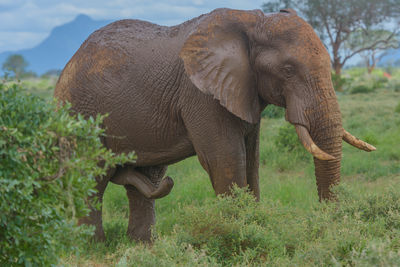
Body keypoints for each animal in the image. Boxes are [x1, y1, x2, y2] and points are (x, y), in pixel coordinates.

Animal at [54, 7, 376, 243]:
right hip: (80, 114)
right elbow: (227, 159)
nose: (328, 228)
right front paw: (239, 234)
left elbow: (252, 161)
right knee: (91, 178)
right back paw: (93, 245)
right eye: (287, 69)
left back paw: (142, 244)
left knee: (148, 177)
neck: (253, 21)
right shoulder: (200, 94)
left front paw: (256, 228)